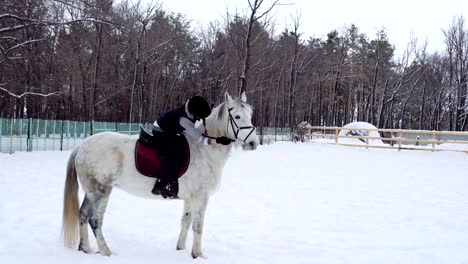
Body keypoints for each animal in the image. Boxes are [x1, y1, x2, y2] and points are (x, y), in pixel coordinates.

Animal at [62, 91, 260, 258]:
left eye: (250, 115)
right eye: (237, 117)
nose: (253, 143)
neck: (204, 150)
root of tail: (82, 146)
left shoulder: (190, 198)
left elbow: (186, 221)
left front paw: (181, 248)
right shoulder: (200, 197)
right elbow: (198, 226)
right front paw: (198, 255)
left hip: (92, 192)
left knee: (83, 214)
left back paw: (86, 248)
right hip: (101, 191)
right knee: (95, 220)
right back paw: (105, 251)